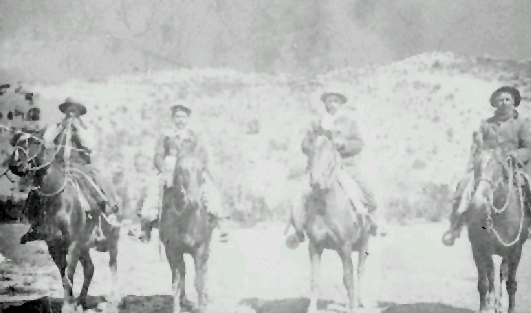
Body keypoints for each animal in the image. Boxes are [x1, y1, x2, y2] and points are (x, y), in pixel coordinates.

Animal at [8, 129, 121, 312]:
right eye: (16, 142)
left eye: (34, 142)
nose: (14, 164)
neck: (55, 198)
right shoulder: (53, 245)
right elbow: (63, 274)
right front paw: (71, 303)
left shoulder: (73, 243)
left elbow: (69, 272)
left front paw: (68, 306)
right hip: (84, 246)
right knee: (90, 268)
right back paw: (82, 300)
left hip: (112, 239)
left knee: (113, 264)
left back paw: (115, 299)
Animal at [137, 146, 216, 312]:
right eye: (180, 169)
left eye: (202, 169)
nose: (194, 200)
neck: (185, 221)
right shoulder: (172, 251)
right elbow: (176, 283)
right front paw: (177, 307)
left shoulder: (200, 250)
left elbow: (199, 282)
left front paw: (202, 306)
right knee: (183, 271)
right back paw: (184, 300)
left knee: (203, 271)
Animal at [286, 134, 370, 312]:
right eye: (310, 151)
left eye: (331, 154)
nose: (316, 181)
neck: (325, 209)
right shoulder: (315, 246)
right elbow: (315, 279)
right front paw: (311, 309)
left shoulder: (345, 246)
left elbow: (349, 279)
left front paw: (353, 308)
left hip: (364, 242)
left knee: (359, 271)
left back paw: (359, 301)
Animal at [468, 136, 528, 312]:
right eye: (475, 165)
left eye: (498, 167)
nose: (478, 202)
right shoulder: (478, 249)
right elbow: (483, 282)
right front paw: (484, 308)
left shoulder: (515, 251)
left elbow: (511, 284)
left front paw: (509, 308)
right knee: (491, 275)